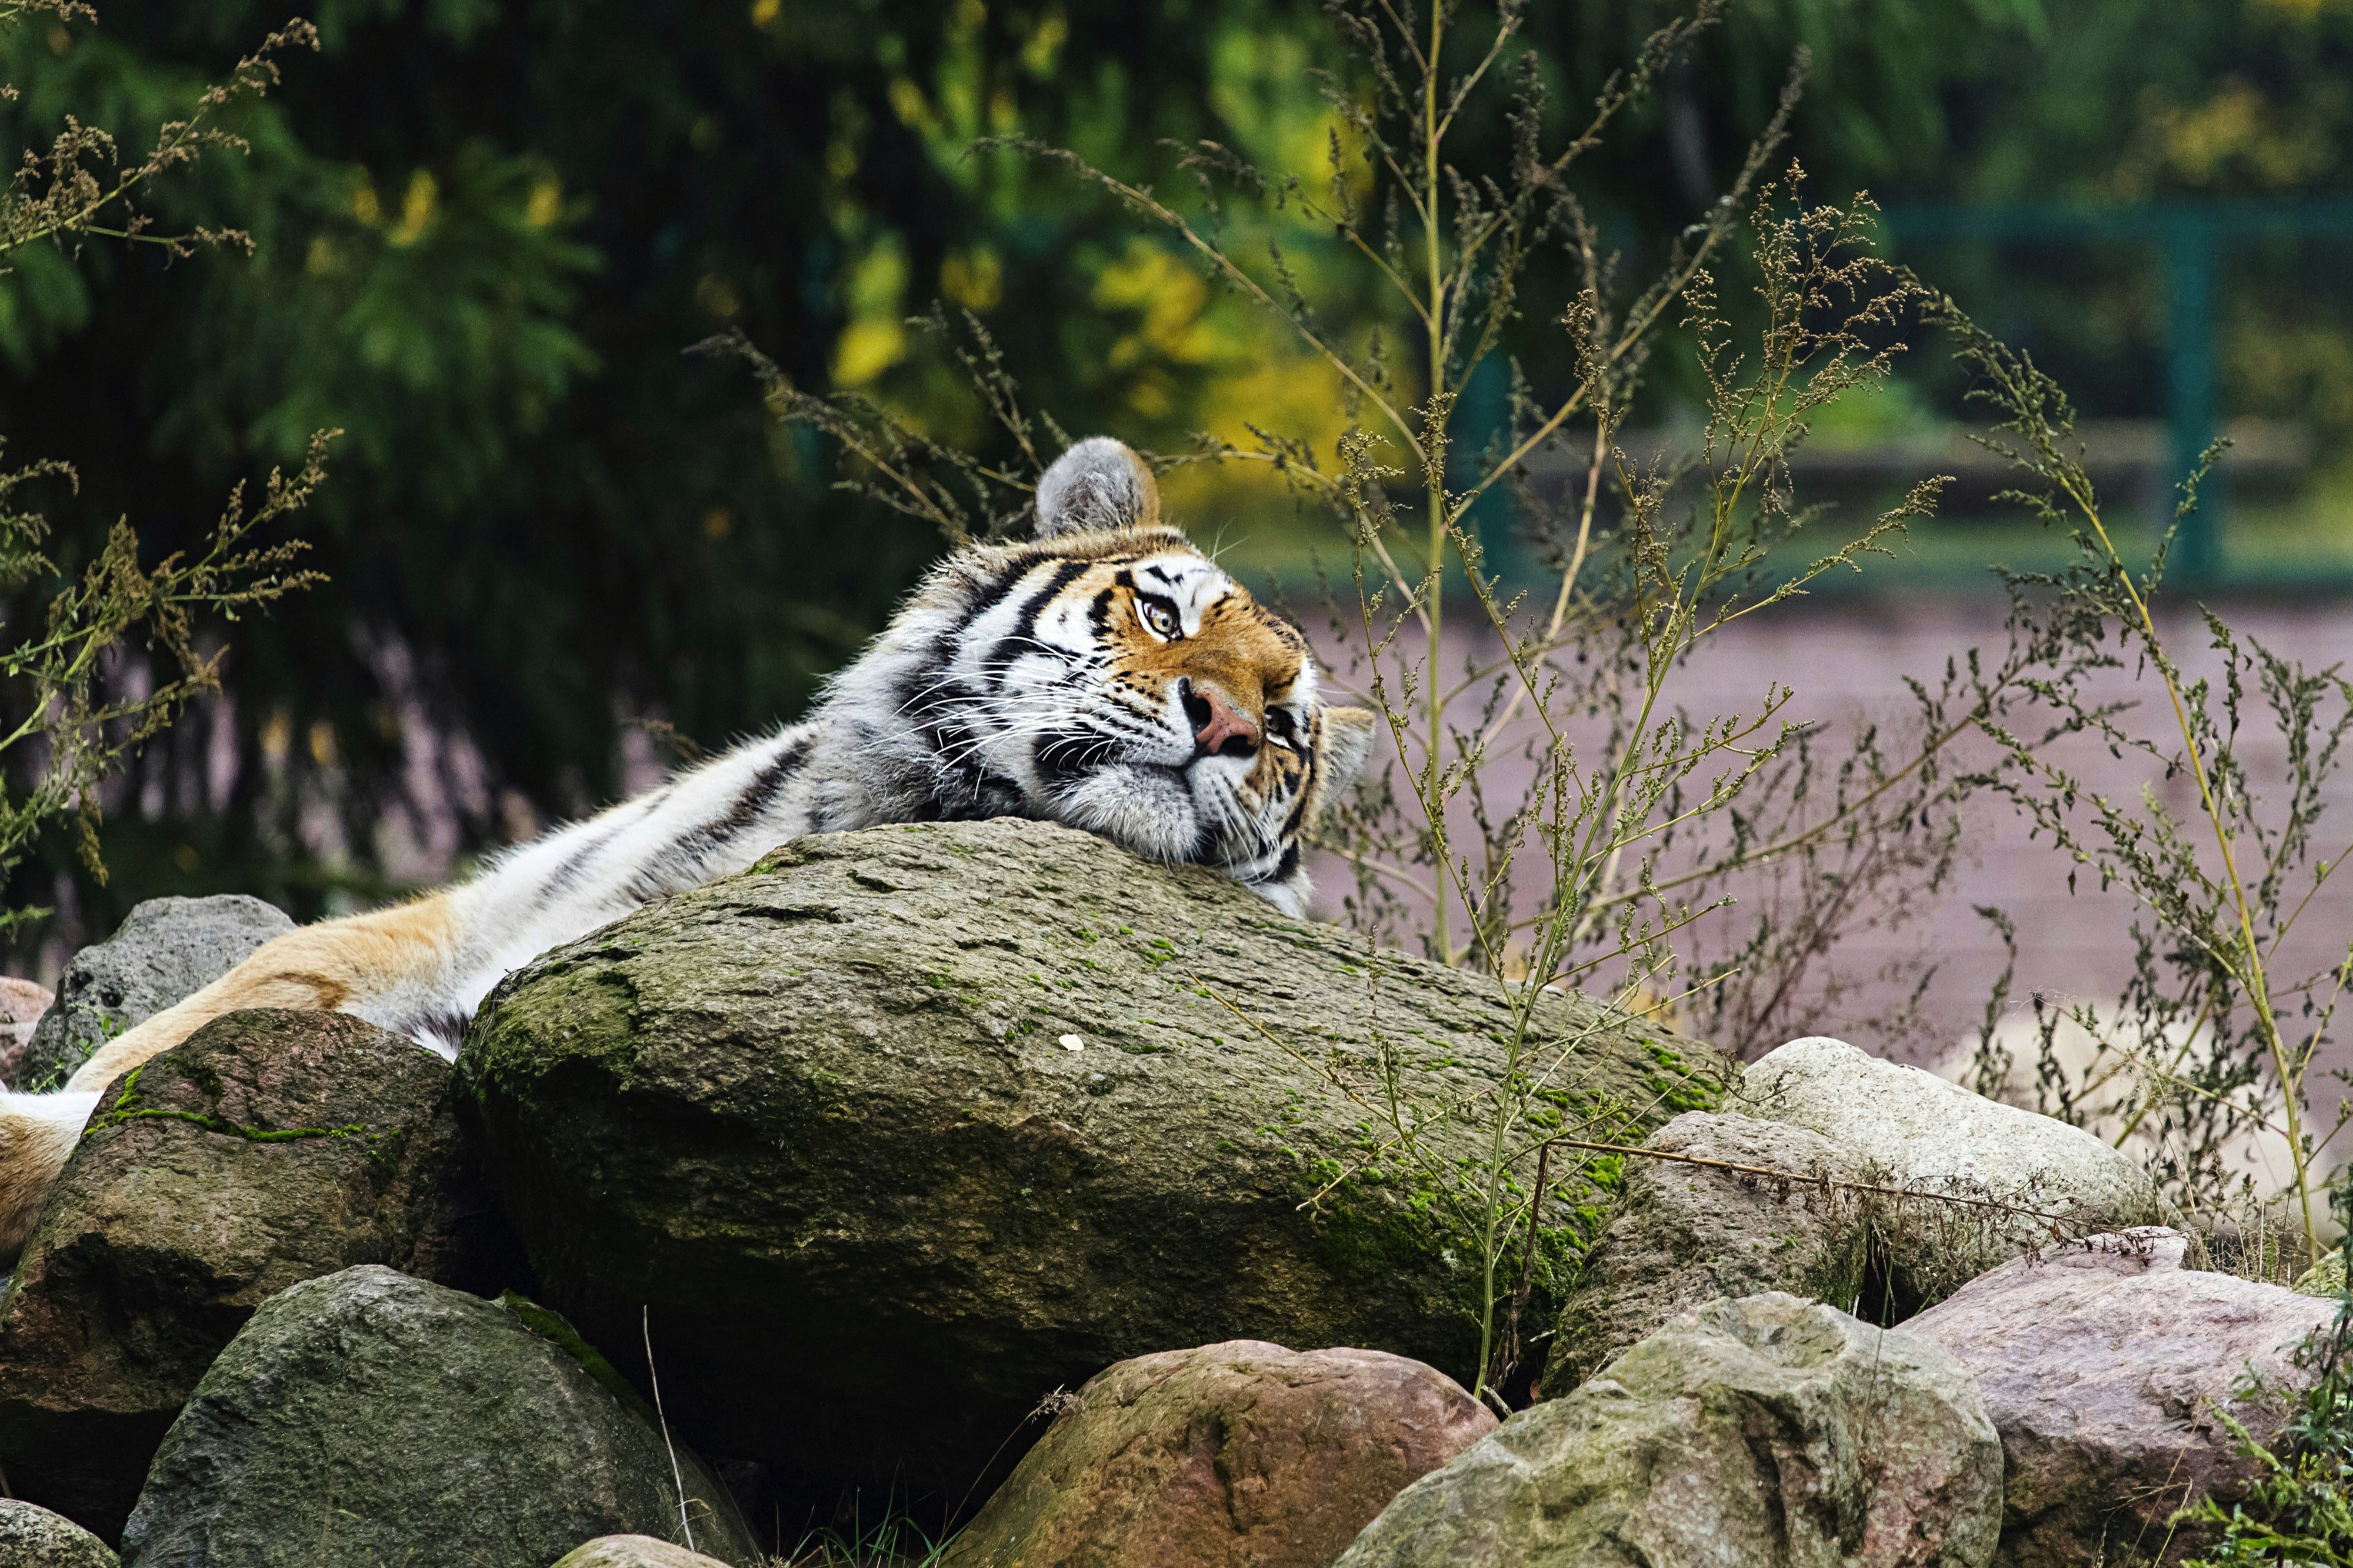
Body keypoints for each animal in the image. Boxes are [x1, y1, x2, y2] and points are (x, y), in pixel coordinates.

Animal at [0, 436, 1376, 1256]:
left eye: (1286, 729)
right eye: (1162, 614)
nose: (1231, 724)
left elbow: (64, 1139)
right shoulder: (476, 914)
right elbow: (239, 991)